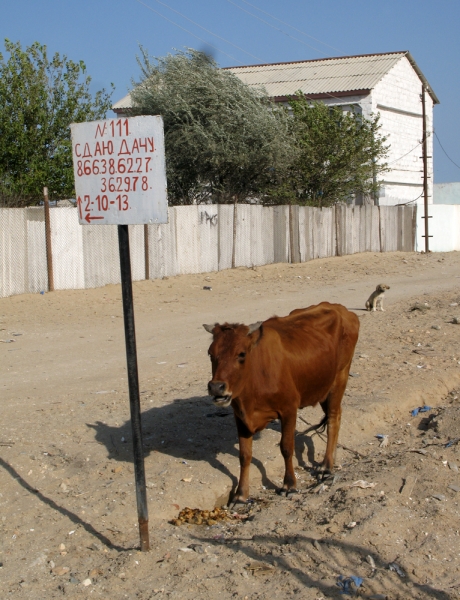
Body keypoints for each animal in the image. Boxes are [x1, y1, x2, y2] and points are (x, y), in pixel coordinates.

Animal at [204, 300, 360, 502]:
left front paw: (289, 484)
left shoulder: (289, 409)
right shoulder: (240, 416)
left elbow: (286, 448)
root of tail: (339, 308)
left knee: (334, 418)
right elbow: (244, 455)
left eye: (242, 354)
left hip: (340, 377)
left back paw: (326, 466)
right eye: (210, 354)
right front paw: (240, 494)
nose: (216, 387)